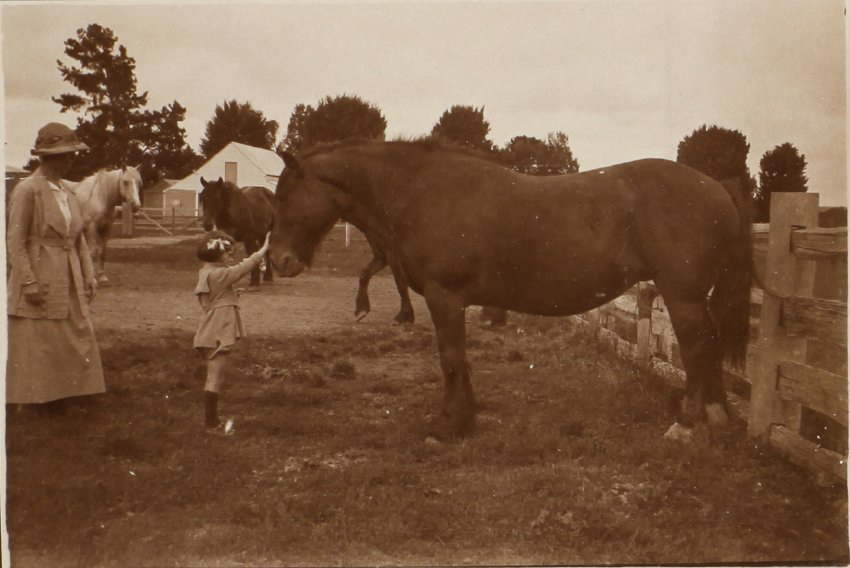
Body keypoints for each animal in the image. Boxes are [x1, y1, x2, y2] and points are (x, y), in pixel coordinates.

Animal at [269, 139, 752, 442]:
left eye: (285, 197)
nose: (277, 260)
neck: (424, 192)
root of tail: (715, 185)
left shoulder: (445, 297)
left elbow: (450, 359)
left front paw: (446, 426)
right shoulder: (454, 302)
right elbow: (461, 360)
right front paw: (467, 418)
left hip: (683, 297)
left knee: (696, 348)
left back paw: (687, 425)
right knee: (708, 346)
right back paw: (716, 417)